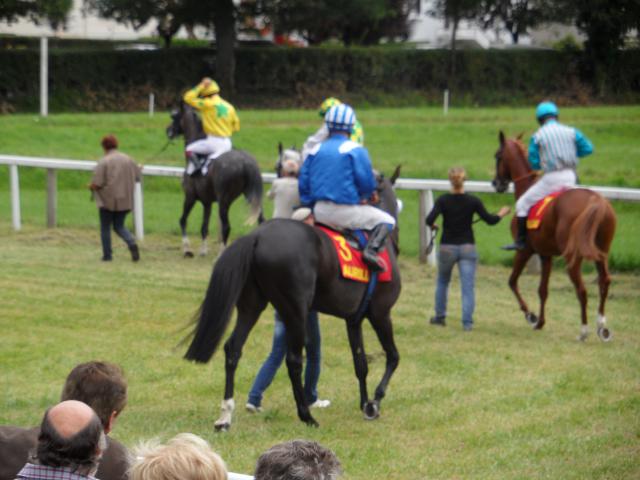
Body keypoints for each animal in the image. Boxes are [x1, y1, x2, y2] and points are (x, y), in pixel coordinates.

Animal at [168, 101, 264, 255]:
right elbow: (204, 227)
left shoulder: (190, 197)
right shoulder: (207, 202)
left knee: (226, 226)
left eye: (174, 116)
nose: (169, 131)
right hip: (249, 195)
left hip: (224, 201)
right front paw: (203, 250)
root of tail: (245, 162)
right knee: (261, 220)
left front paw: (187, 248)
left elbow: (182, 220)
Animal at [185, 167, 402, 430]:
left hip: (252, 305)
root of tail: (257, 235)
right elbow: (393, 357)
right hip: (295, 310)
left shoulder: (353, 319)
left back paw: (225, 416)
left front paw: (365, 403)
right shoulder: (381, 313)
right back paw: (306, 415)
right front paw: (375, 402)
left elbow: (360, 364)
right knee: (294, 360)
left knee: (233, 348)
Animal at [492, 131, 616, 342]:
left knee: (581, 290)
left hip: (572, 257)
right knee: (604, 281)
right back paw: (602, 327)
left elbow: (512, 281)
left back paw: (583, 331)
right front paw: (540, 322)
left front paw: (531, 316)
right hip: (602, 252)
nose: (496, 183)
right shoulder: (546, 255)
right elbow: (543, 290)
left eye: (498, 156)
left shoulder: (525, 251)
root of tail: (595, 200)